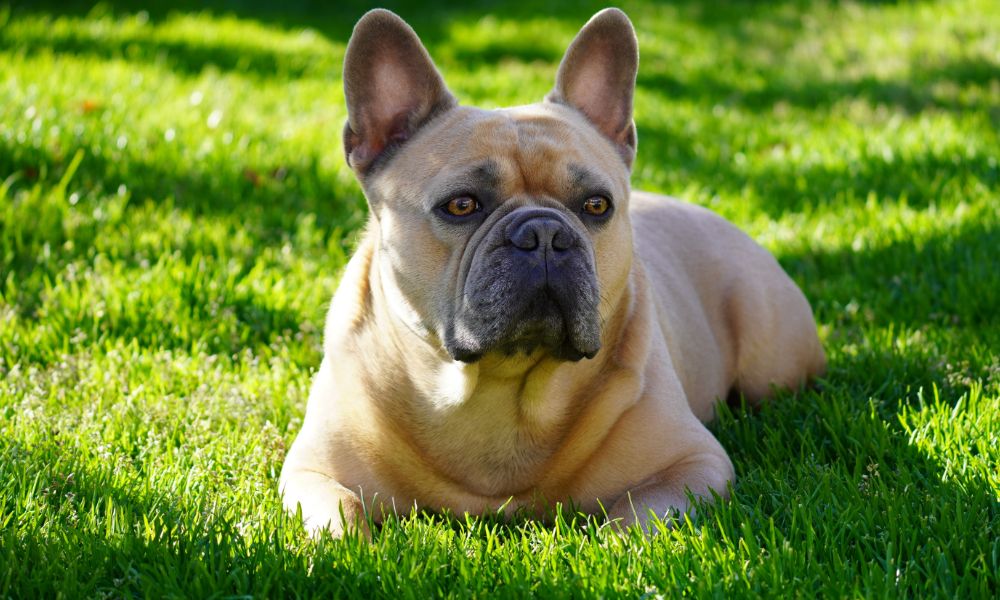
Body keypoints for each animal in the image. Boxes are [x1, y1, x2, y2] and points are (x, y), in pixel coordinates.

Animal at [278, 8, 824, 536]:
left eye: (597, 205)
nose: (544, 234)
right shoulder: (311, 473)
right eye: (461, 205)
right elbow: (343, 520)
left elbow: (637, 522)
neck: (497, 387)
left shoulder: (692, 464)